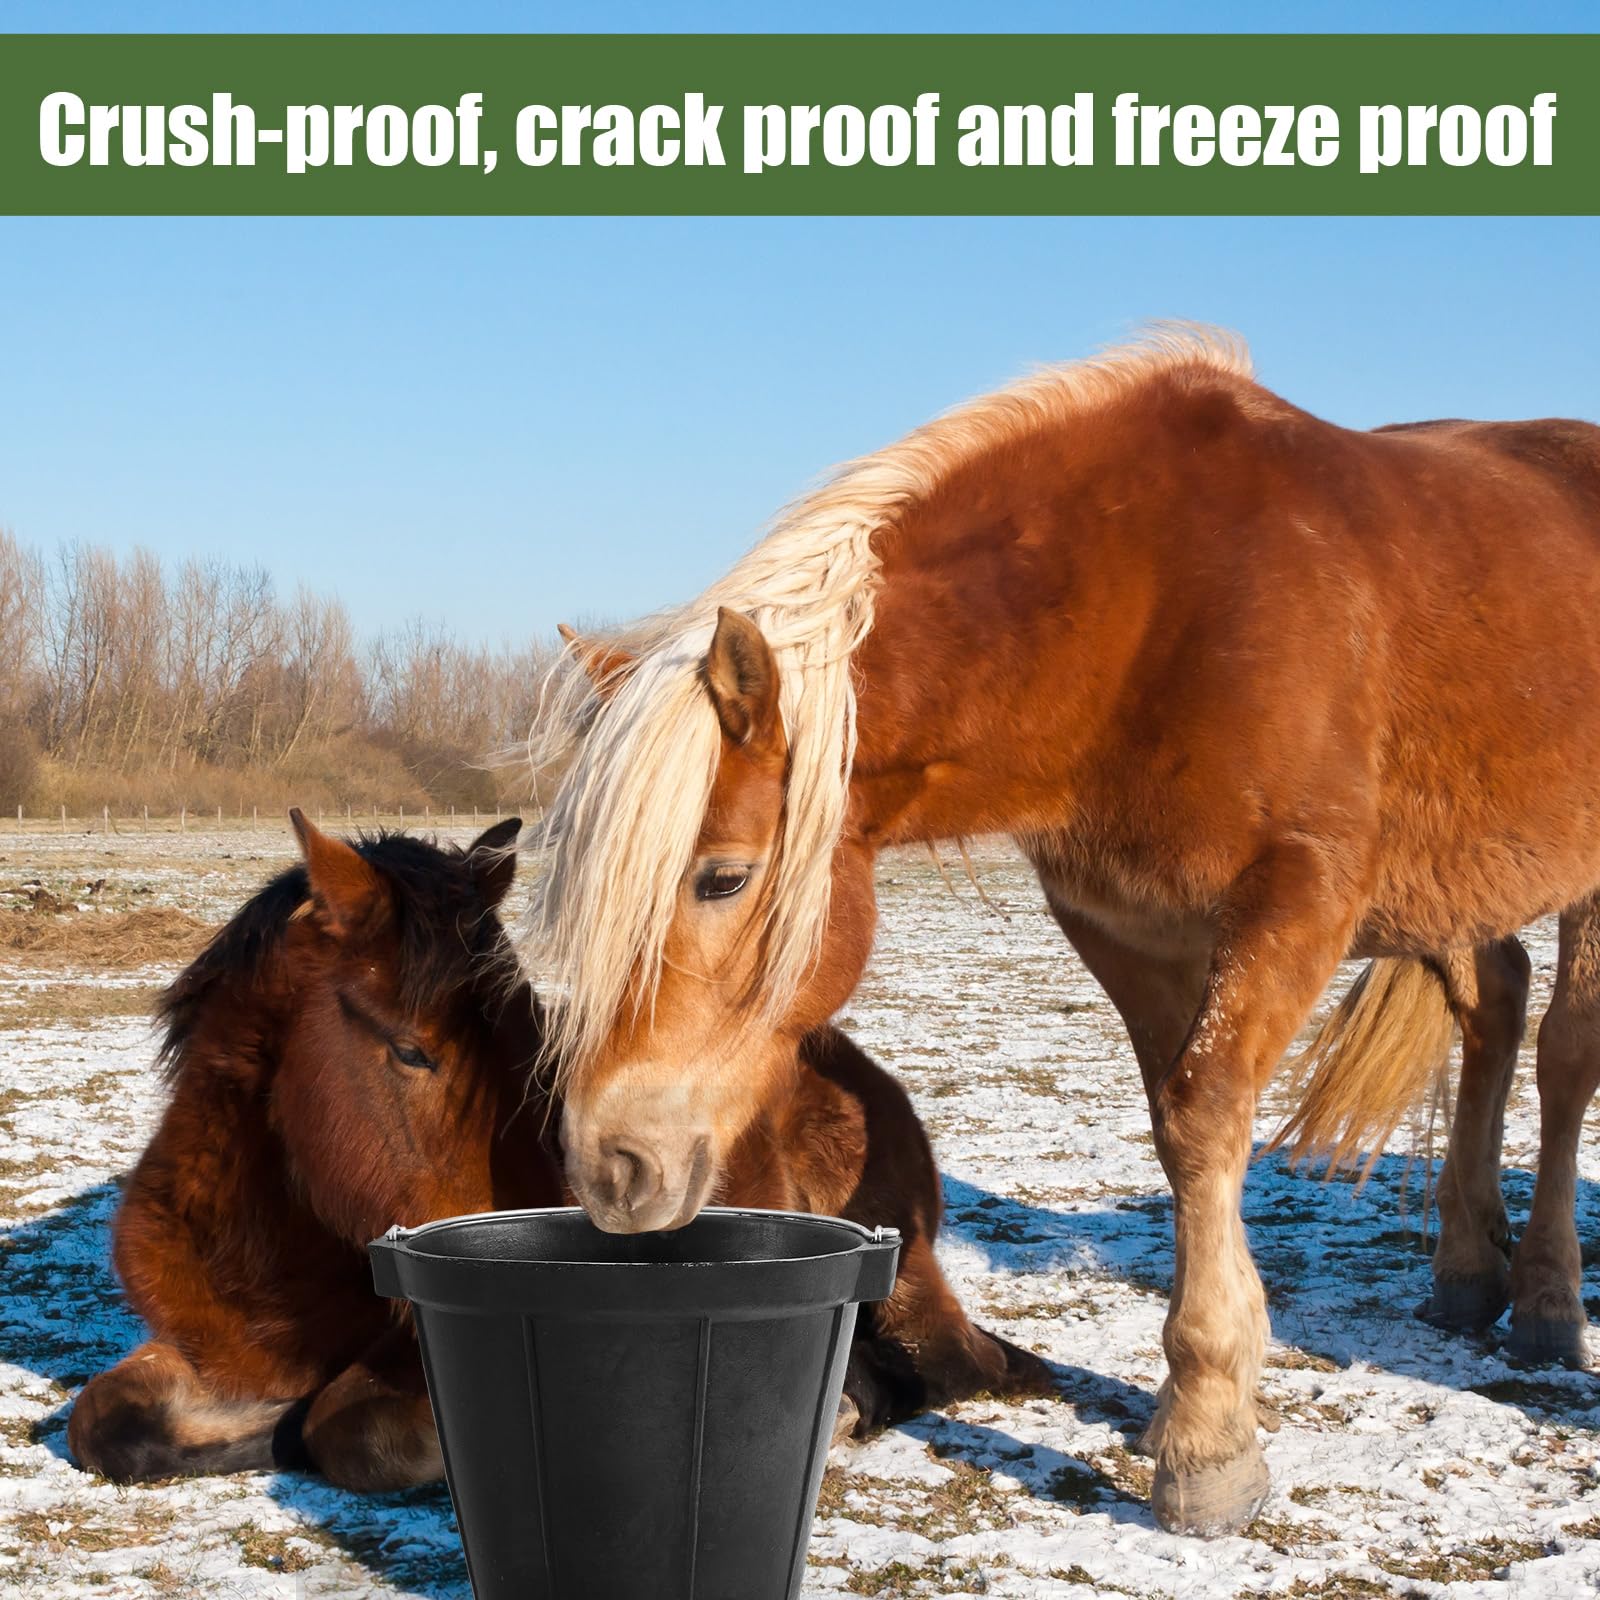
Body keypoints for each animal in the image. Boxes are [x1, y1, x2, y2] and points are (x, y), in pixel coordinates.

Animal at [68, 812, 1047, 1492]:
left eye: (529, 1041)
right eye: (411, 1051)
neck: (277, 1260)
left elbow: (348, 1429)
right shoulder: (203, 1351)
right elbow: (102, 1421)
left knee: (956, 1364)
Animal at [527, 326, 1600, 1536]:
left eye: (720, 878)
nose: (607, 1165)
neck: (1158, 603)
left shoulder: (1295, 899)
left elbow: (1204, 1116)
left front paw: (1206, 1437)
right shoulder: (1129, 929)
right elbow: (1183, 1130)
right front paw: (1209, 1392)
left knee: (1565, 1057)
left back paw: (1547, 1301)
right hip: (1447, 884)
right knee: (1494, 1006)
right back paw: (1466, 1272)